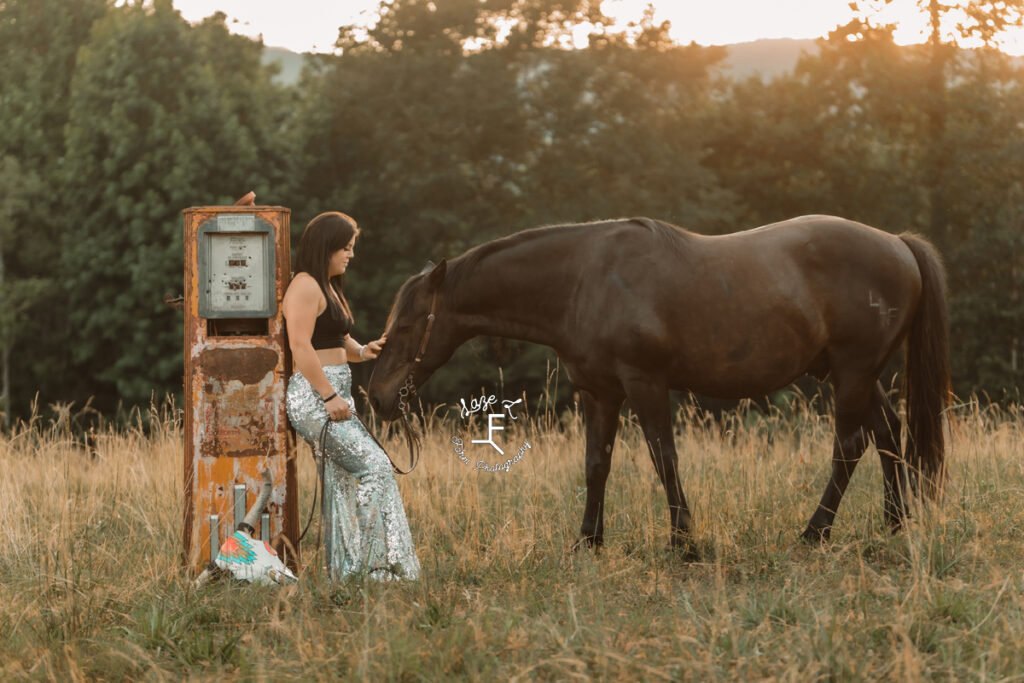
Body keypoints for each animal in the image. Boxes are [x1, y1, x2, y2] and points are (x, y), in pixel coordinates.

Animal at [368, 216, 950, 552]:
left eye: (407, 325)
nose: (377, 396)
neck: (583, 280)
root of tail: (898, 244)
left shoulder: (645, 383)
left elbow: (662, 457)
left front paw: (682, 541)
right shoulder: (599, 392)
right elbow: (596, 464)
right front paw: (589, 541)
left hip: (852, 373)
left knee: (849, 446)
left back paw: (814, 533)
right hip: (854, 374)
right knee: (887, 435)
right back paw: (895, 524)